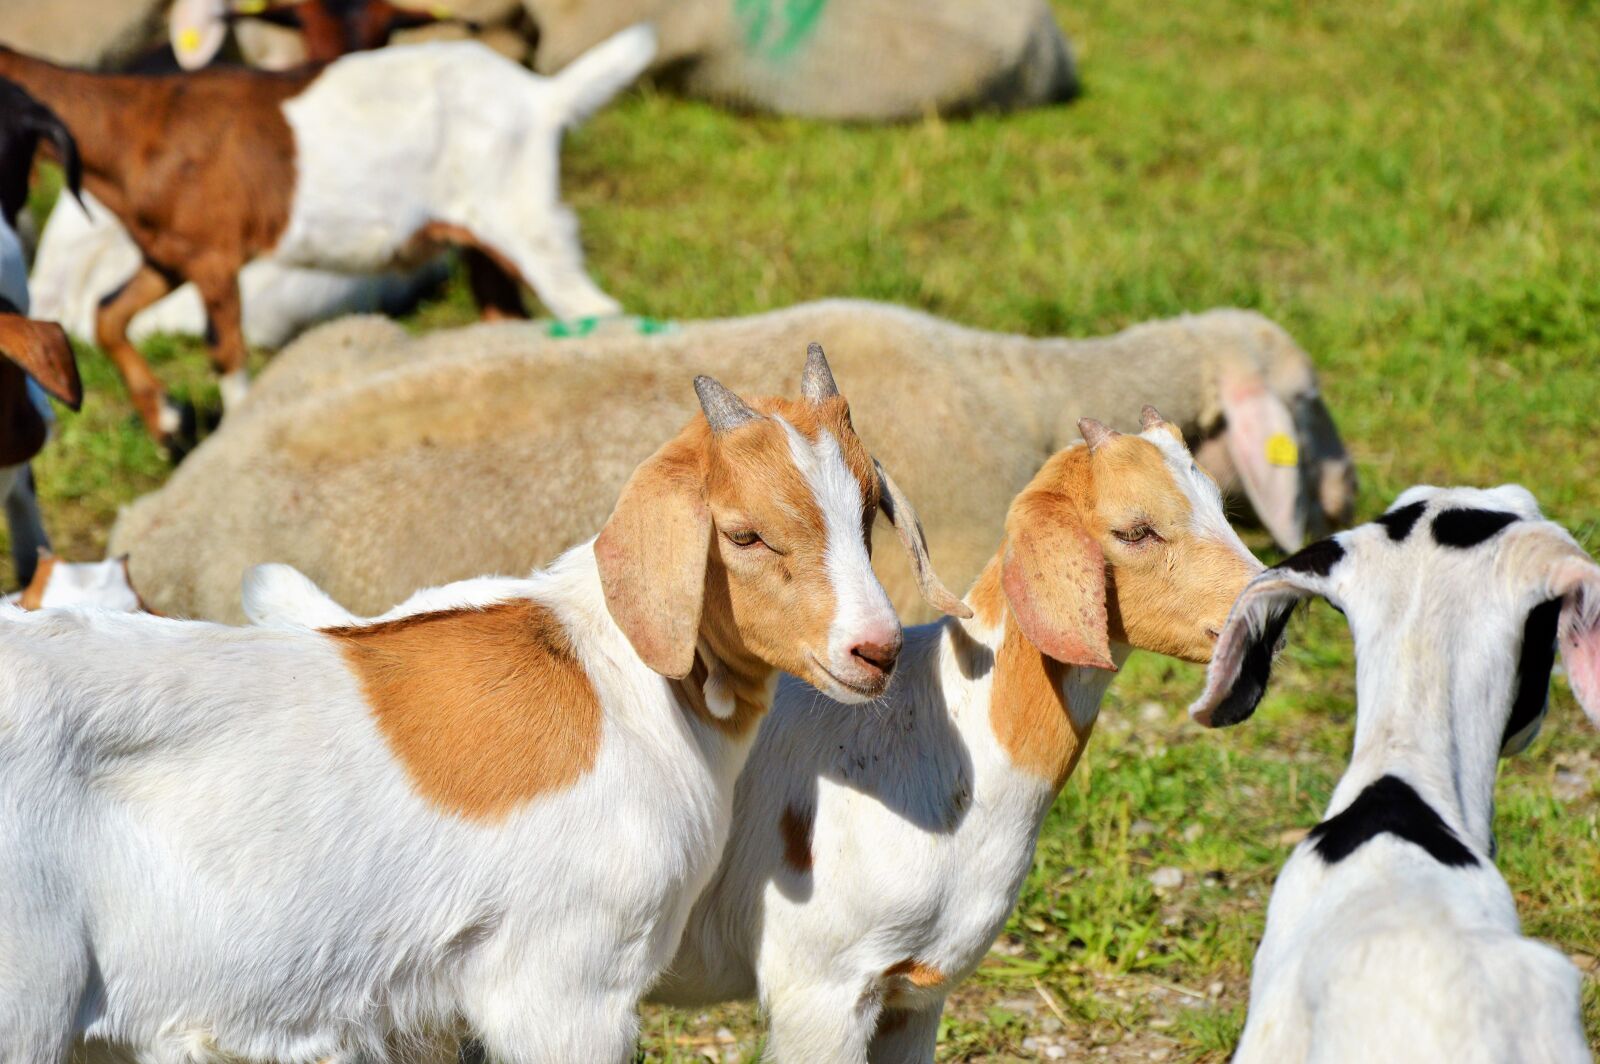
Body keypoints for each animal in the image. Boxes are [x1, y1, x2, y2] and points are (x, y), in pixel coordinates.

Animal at [0, 24, 652, 450]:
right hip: (480, 238)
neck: (139, 129)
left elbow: (226, 354)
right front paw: (168, 424)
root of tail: (543, 96)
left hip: (526, 215)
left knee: (597, 309)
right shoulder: (168, 255)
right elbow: (109, 316)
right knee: (509, 318)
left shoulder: (215, 256)